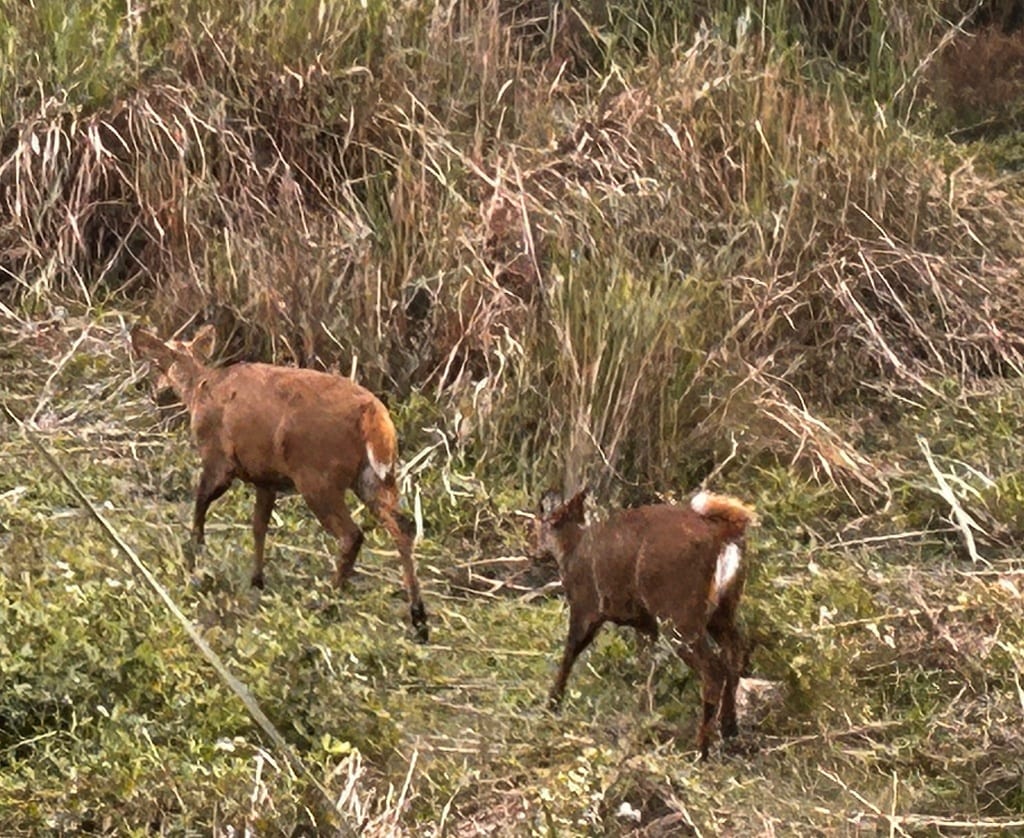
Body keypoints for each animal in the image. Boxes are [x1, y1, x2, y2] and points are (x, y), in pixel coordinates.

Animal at [131, 324, 428, 642]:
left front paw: (193, 558)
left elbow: (200, 505)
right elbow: (259, 525)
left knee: (352, 534)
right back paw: (419, 618)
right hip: (375, 477)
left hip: (317, 476)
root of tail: (373, 415)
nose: (154, 391)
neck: (201, 389)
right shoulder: (267, 478)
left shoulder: (218, 460)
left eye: (155, 364)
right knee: (403, 527)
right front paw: (257, 580)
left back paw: (328, 600)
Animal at [534, 488, 756, 759]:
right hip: (723, 609)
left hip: (679, 615)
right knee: (735, 650)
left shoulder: (586, 607)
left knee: (713, 669)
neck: (571, 549)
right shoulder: (644, 624)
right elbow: (648, 665)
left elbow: (569, 653)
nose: (533, 550)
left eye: (543, 520)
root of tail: (724, 536)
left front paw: (550, 705)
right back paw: (730, 730)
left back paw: (701, 750)